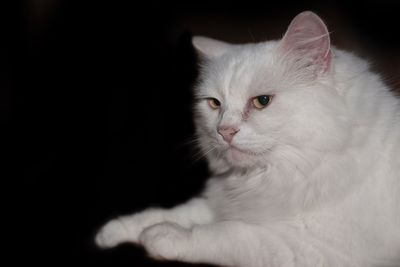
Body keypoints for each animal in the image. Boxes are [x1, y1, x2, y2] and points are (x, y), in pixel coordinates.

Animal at [94, 11, 400, 267]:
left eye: (262, 101)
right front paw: (115, 231)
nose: (224, 131)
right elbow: (176, 212)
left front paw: (164, 236)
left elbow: (228, 234)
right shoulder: (224, 201)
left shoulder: (315, 247)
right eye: (214, 104)